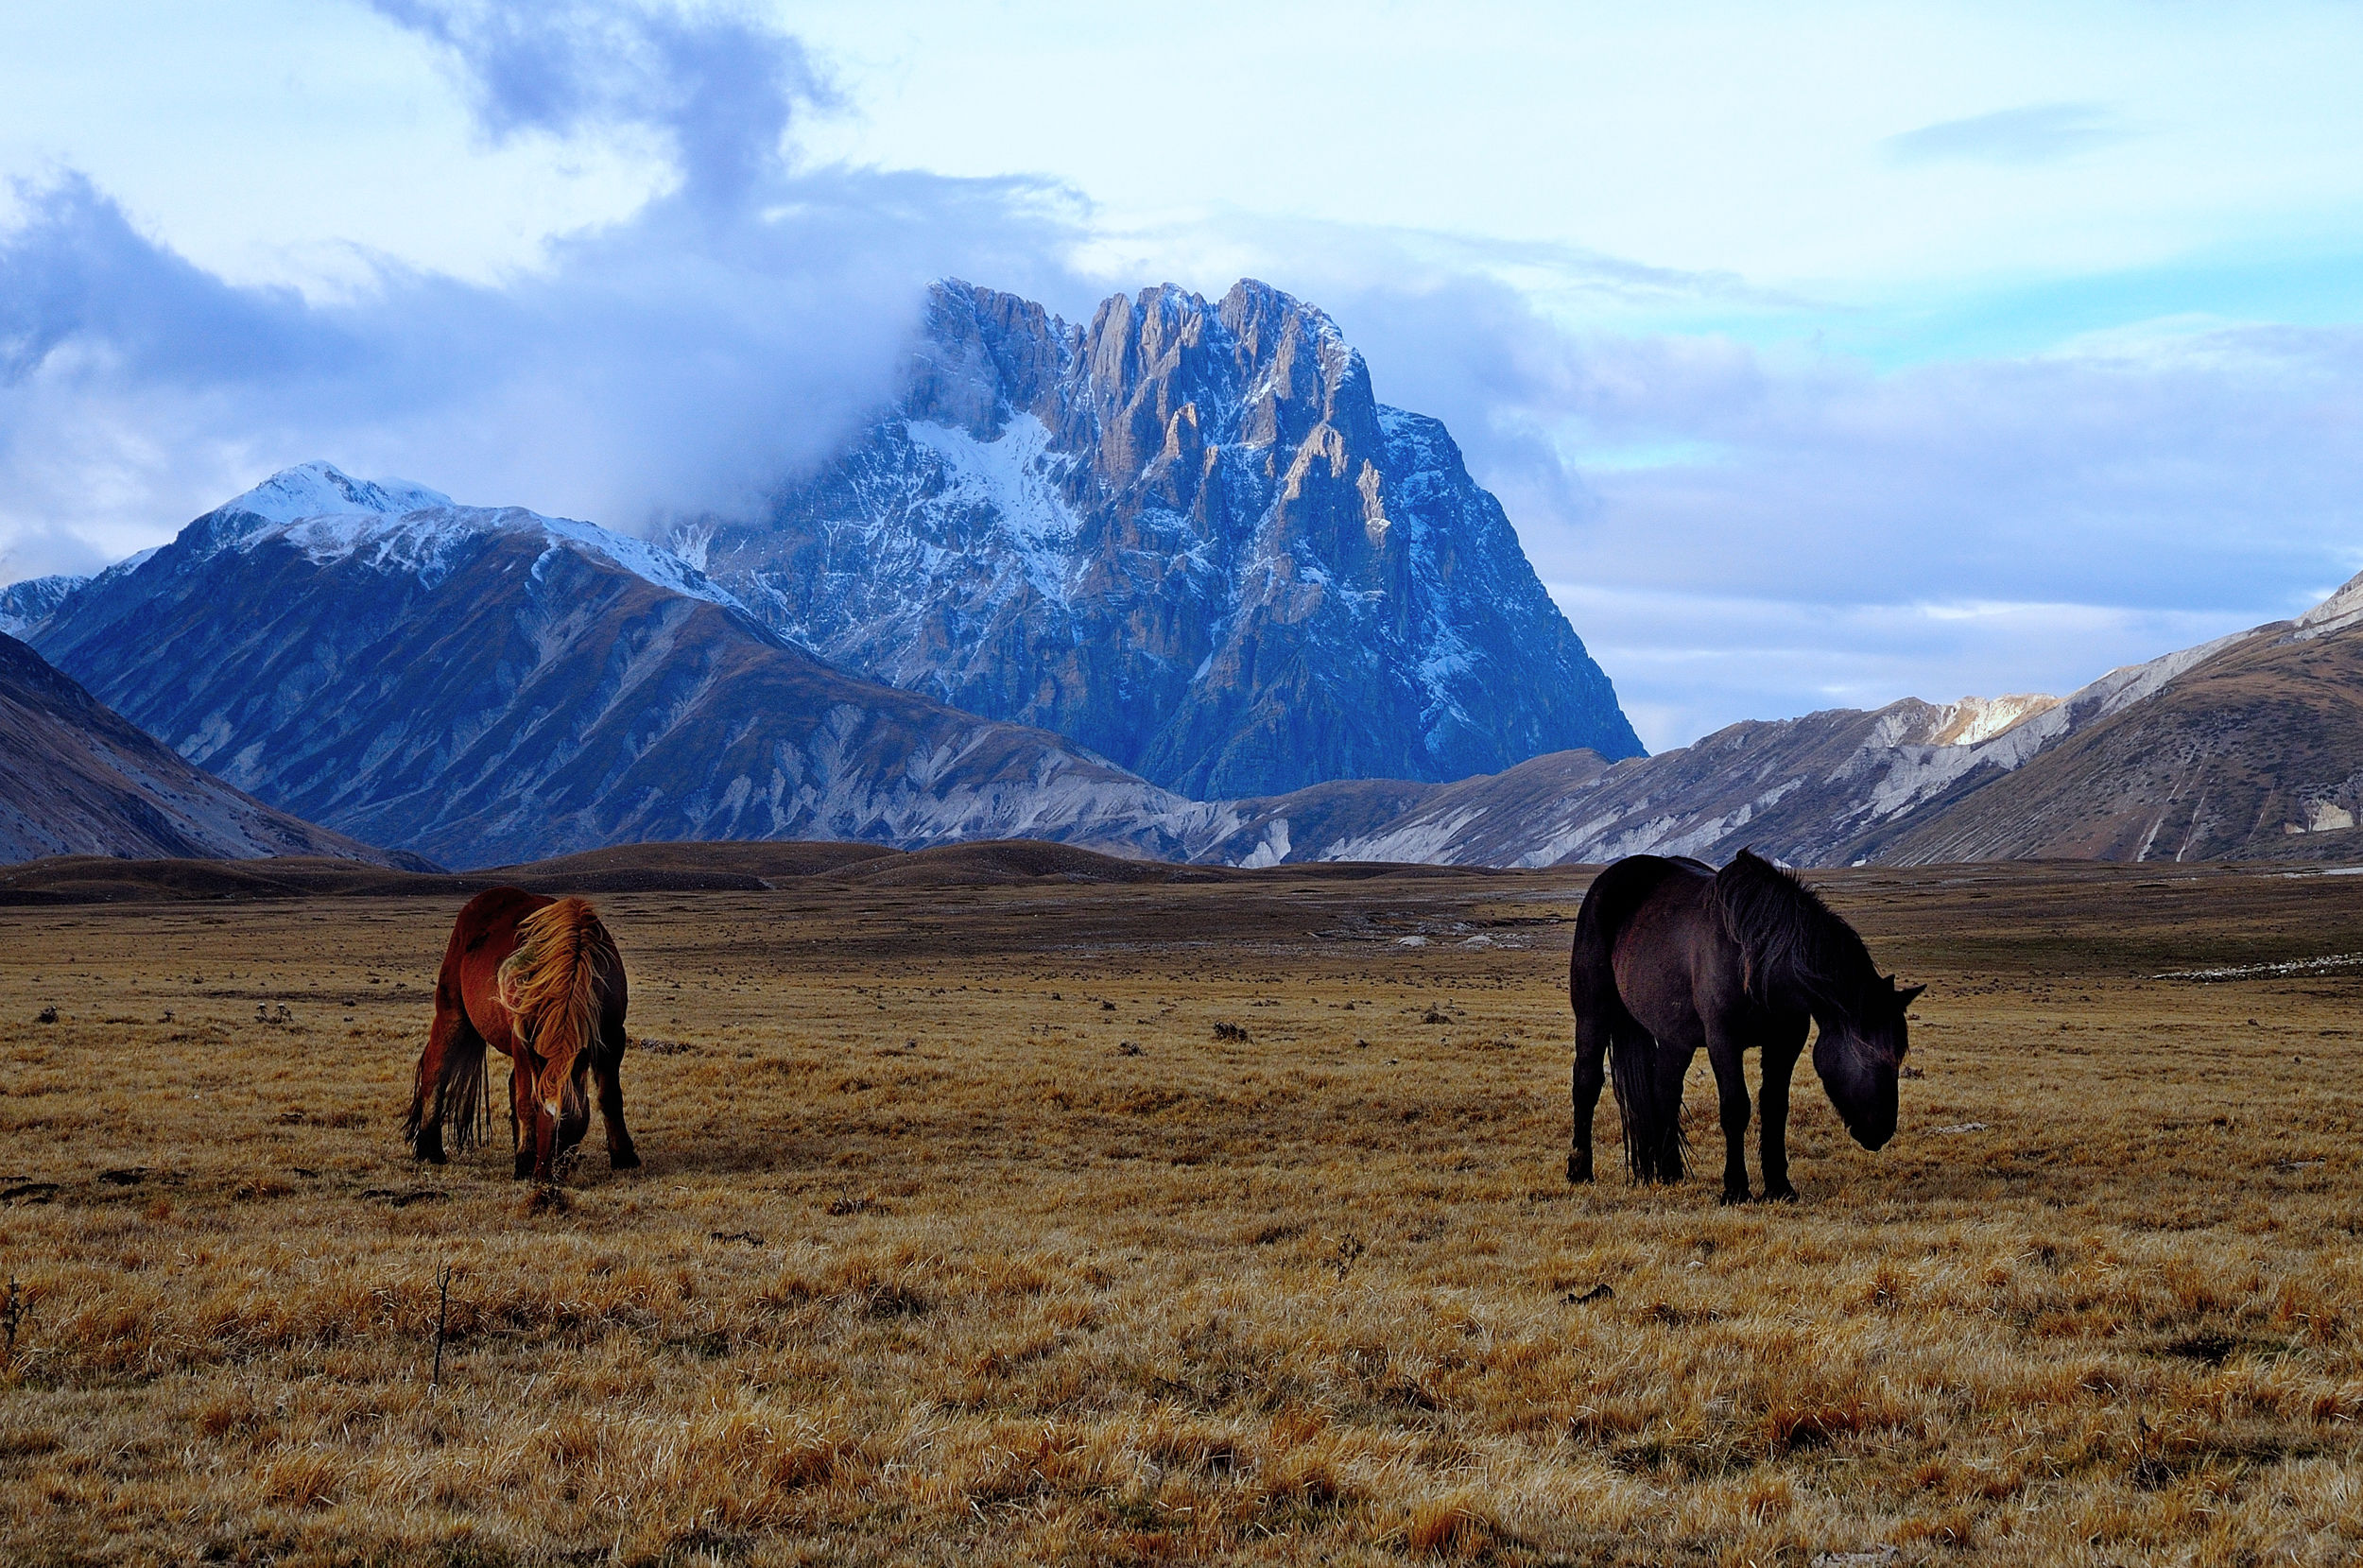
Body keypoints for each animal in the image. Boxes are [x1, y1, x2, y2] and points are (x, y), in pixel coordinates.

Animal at [401, 888, 640, 1182]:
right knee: (436, 1070)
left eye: (567, 1121)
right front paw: (524, 1162)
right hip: (453, 1014)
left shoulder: (611, 1038)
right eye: (541, 1114)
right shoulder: (522, 1040)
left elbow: (610, 1098)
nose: (545, 1174)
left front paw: (624, 1156)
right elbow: (525, 1100)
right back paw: (430, 1149)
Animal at [1567, 849, 1921, 1203]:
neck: (1758, 960)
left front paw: (1779, 1186)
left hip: (1674, 1039)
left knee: (1665, 1090)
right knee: (1587, 1082)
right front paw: (1736, 1187)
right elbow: (1735, 1108)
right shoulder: (1724, 1040)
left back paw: (1670, 1172)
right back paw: (1579, 1170)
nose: (1882, 1130)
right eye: (1868, 1054)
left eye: (1898, 1056)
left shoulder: (1785, 1042)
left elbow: (1775, 1108)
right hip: (1592, 1015)